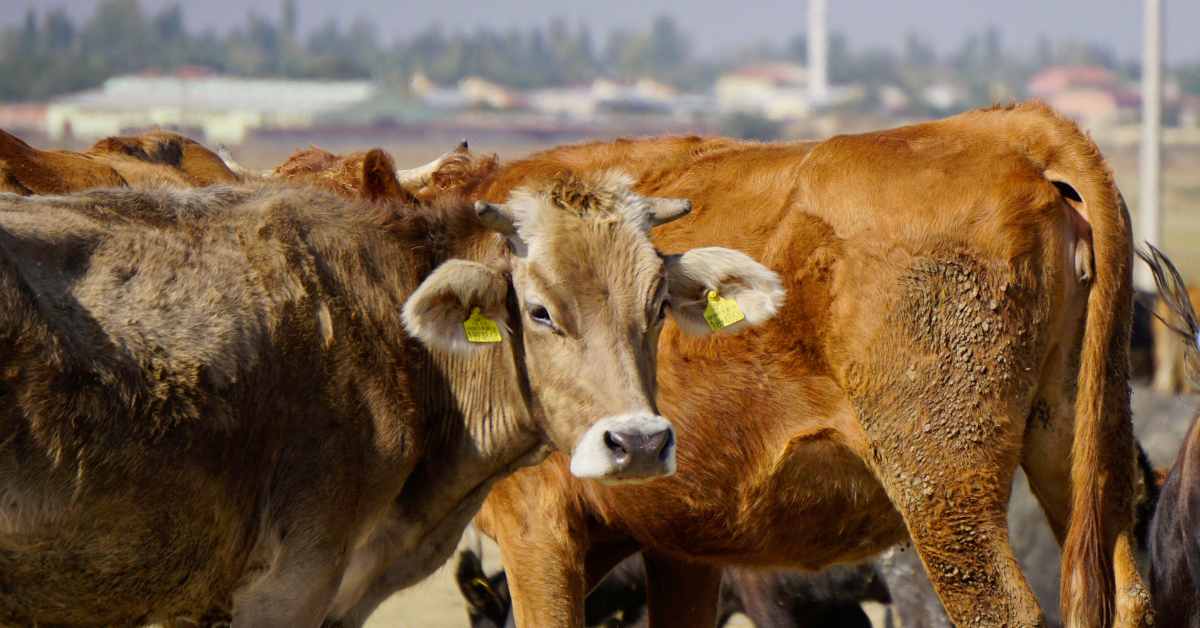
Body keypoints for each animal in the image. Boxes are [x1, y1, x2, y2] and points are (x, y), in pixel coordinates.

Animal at [453, 103, 1147, 628]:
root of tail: (1004, 129)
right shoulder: (681, 541)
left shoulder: (537, 527)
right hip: (1078, 451)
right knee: (1128, 593)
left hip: (943, 493)